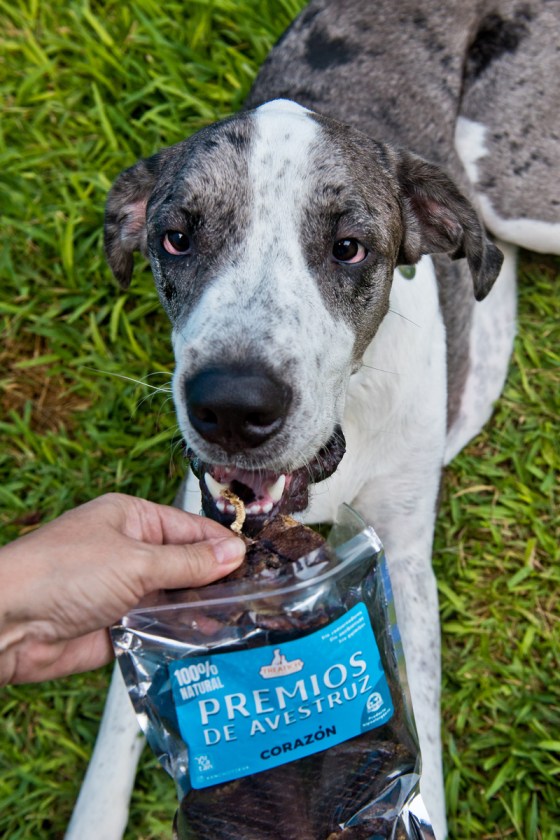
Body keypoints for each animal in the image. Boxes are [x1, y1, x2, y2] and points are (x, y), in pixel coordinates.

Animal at [66, 1, 560, 838]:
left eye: (349, 247)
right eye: (176, 237)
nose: (233, 406)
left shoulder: (403, 560)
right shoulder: (186, 542)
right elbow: (114, 735)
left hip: (512, 185)